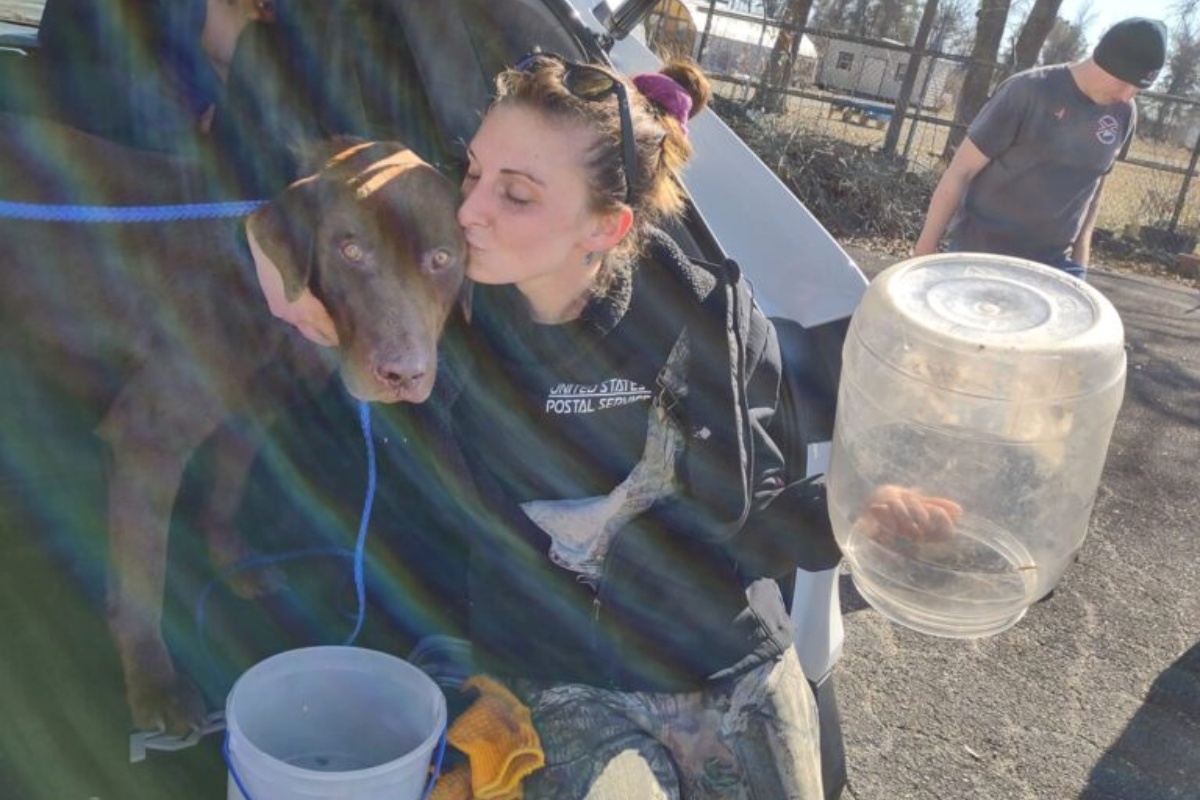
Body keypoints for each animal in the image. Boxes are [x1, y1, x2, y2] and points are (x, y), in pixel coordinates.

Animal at [0, 115, 468, 734]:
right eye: (350, 249)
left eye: (441, 259)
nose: (403, 373)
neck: (257, 280)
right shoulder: (149, 439)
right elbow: (143, 579)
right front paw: (154, 684)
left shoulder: (250, 413)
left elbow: (227, 491)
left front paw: (233, 561)